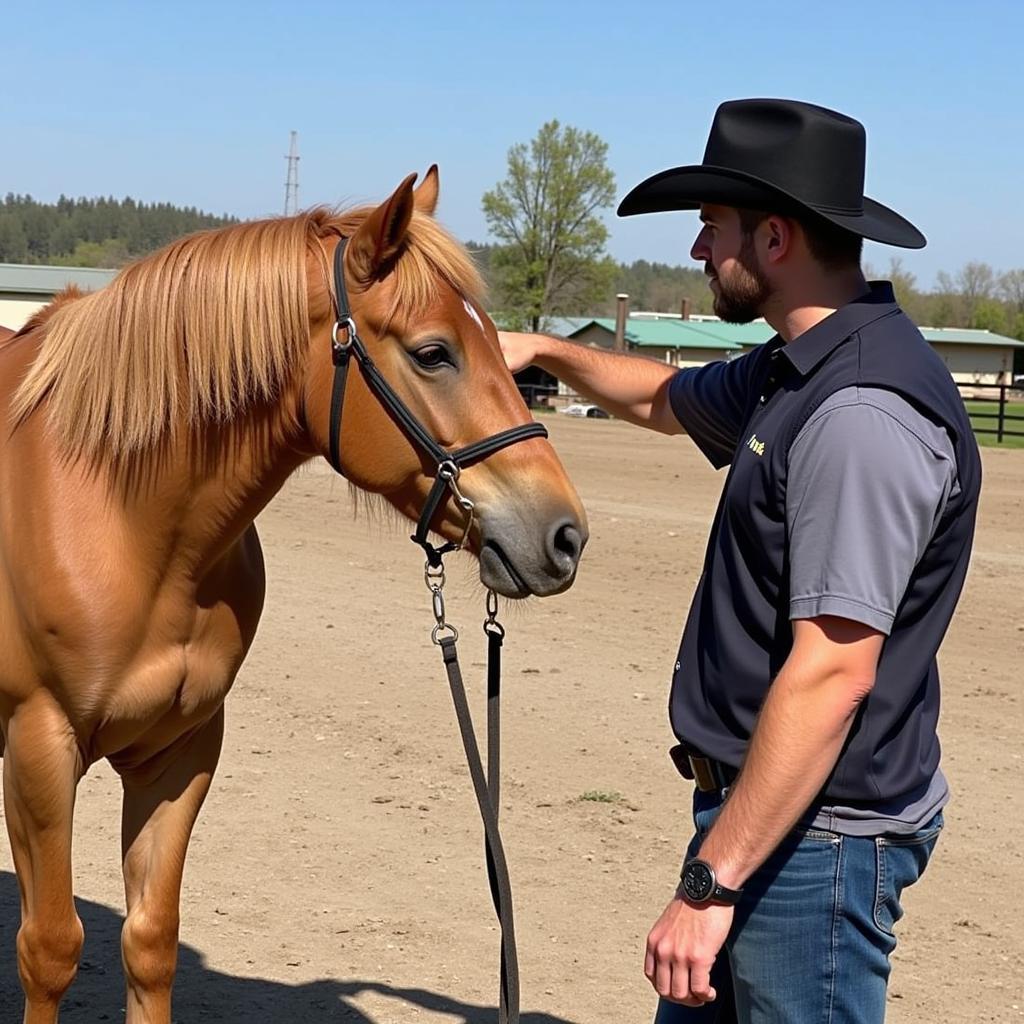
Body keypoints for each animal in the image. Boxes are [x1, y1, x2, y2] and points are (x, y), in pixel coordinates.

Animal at [0, 169, 589, 1024]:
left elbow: (150, 941)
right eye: (434, 352)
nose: (564, 536)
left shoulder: (182, 750)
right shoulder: (39, 748)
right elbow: (48, 949)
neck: (115, 509)